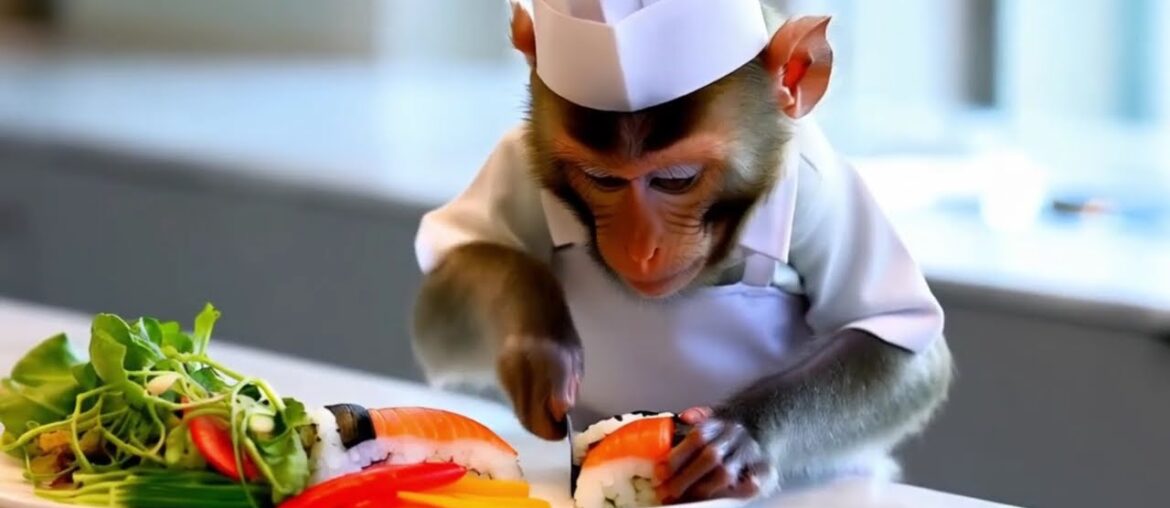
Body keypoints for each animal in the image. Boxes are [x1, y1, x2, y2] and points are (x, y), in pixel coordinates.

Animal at [410, 1, 954, 503]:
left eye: (677, 181)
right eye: (603, 179)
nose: (641, 247)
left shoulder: (819, 192)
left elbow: (894, 341)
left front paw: (741, 434)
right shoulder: (518, 157)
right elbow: (441, 300)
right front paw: (538, 349)